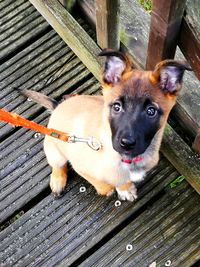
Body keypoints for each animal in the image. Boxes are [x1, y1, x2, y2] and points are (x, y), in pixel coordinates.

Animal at [22, 49, 191, 201]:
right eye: (116, 107)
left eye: (151, 111)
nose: (126, 144)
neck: (128, 160)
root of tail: (57, 107)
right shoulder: (80, 166)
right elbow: (104, 184)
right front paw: (110, 189)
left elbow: (122, 180)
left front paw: (125, 189)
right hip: (55, 152)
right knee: (57, 165)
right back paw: (57, 181)